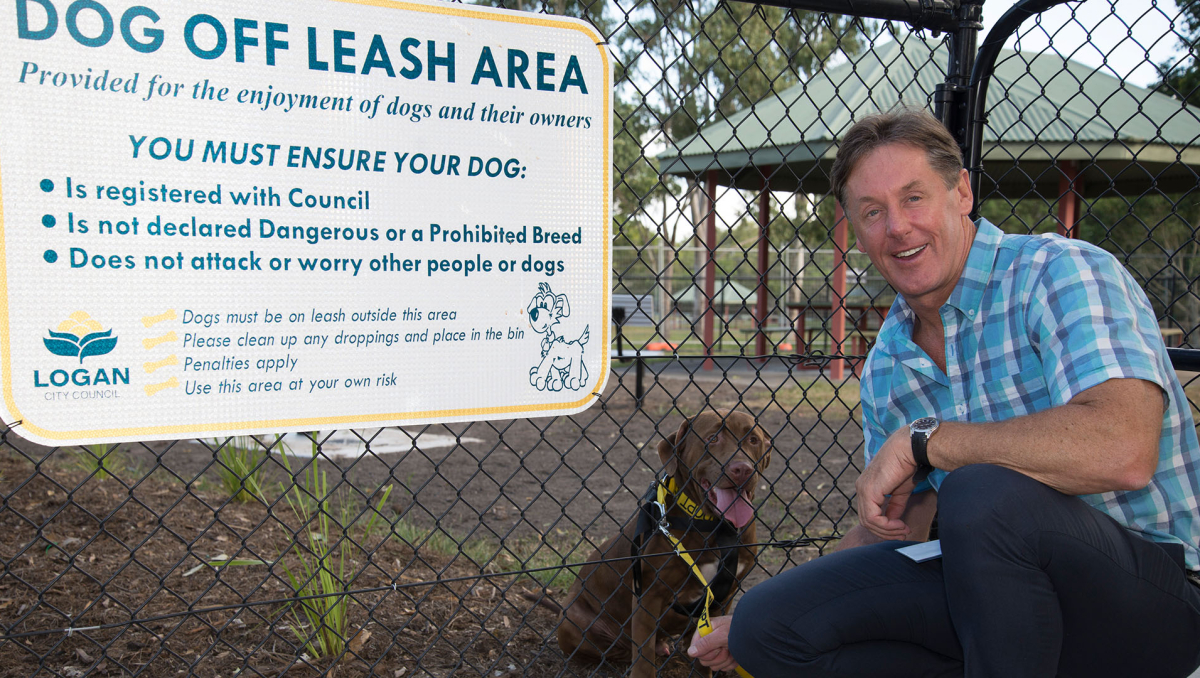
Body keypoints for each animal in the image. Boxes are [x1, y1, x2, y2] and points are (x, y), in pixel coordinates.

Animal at [556, 410, 772, 672]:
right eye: (712, 439)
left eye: (753, 439)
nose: (742, 469)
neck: (713, 527)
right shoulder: (648, 598)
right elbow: (643, 662)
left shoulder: (724, 596)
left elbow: (706, 651)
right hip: (573, 622)